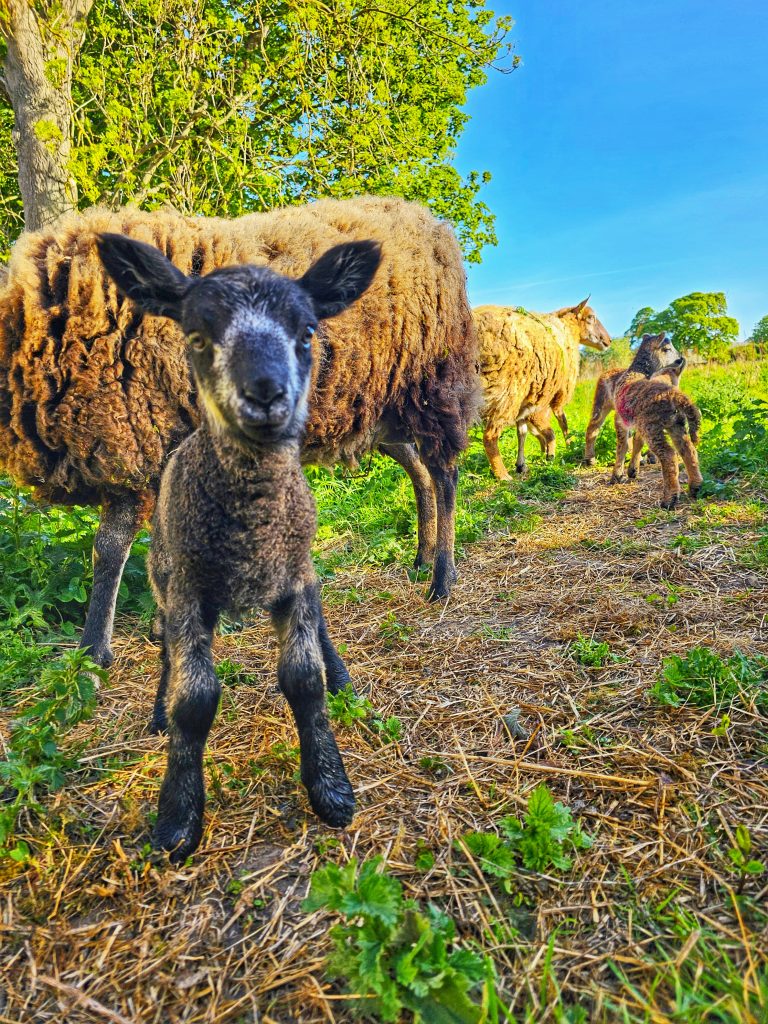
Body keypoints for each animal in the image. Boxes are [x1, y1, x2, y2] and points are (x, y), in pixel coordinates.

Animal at [0, 197, 478, 668]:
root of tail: (431, 222)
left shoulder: (140, 441)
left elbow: (112, 547)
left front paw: (95, 651)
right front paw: (160, 626)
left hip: (431, 381)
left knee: (444, 474)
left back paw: (443, 578)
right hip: (382, 408)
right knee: (419, 472)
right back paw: (422, 557)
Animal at [95, 230, 382, 861]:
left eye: (307, 333)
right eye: (197, 337)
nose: (267, 394)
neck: (252, 525)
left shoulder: (295, 581)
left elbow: (304, 681)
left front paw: (331, 789)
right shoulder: (188, 592)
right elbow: (195, 699)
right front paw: (178, 819)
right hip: (164, 580)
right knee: (166, 652)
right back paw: (157, 712)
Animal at [474, 300, 611, 480]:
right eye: (591, 317)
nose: (609, 341)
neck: (566, 331)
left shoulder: (529, 398)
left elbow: (522, 432)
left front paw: (522, 464)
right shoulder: (555, 396)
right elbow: (561, 422)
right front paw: (565, 447)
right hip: (509, 391)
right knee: (490, 435)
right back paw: (502, 475)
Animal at [583, 332, 680, 465]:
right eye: (667, 349)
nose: (680, 359)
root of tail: (606, 371)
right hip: (601, 402)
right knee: (593, 427)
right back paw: (590, 459)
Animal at [610, 355, 702, 509]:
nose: (680, 359)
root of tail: (674, 394)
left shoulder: (621, 420)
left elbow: (622, 446)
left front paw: (616, 475)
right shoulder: (638, 423)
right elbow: (637, 442)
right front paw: (632, 470)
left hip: (651, 427)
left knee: (668, 455)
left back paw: (669, 500)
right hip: (675, 424)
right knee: (688, 450)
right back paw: (696, 487)